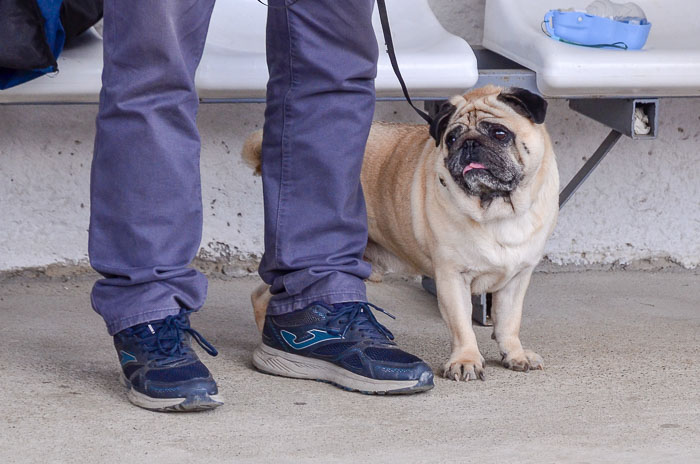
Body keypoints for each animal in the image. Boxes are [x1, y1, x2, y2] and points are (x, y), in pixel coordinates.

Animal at [241, 85, 556, 382]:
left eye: (500, 134)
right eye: (452, 139)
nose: (469, 144)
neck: (497, 211)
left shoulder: (516, 278)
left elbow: (508, 322)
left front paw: (514, 354)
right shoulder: (452, 277)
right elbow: (462, 325)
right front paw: (466, 359)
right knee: (261, 296)